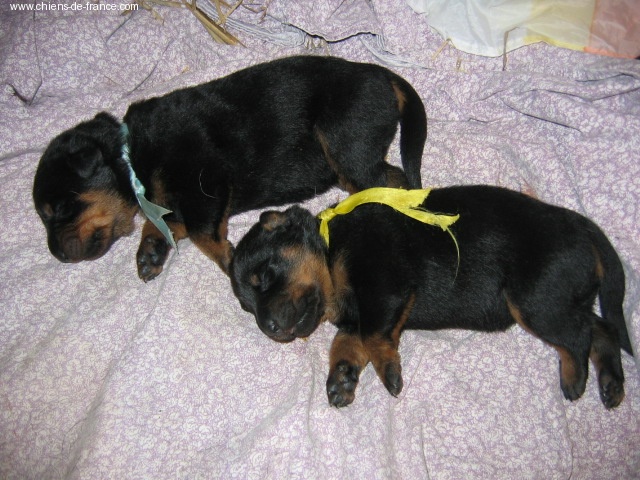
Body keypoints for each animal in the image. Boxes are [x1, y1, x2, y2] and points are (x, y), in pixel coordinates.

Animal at [32, 55, 426, 280]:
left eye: (61, 208)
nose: (57, 254)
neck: (133, 154)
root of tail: (382, 75)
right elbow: (169, 220)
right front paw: (151, 250)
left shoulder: (204, 180)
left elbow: (202, 231)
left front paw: (229, 259)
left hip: (344, 137)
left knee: (389, 180)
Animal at [230, 185, 632, 409]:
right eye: (247, 307)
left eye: (266, 275)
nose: (268, 327)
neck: (331, 247)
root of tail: (582, 225)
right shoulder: (360, 313)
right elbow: (348, 342)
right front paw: (342, 376)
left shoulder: (383, 283)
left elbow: (374, 337)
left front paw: (388, 371)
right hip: (562, 297)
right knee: (600, 327)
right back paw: (611, 384)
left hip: (535, 298)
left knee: (578, 335)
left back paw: (574, 379)